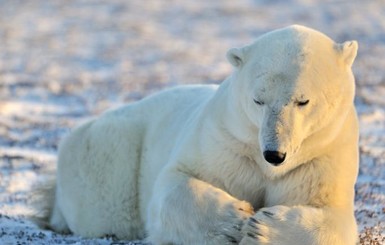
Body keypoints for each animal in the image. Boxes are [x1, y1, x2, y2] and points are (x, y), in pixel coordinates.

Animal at [43, 25, 358, 245]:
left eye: (302, 101)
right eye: (258, 100)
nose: (274, 154)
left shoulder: (323, 155)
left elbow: (336, 218)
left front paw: (262, 228)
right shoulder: (225, 141)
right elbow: (176, 181)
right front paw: (236, 221)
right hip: (109, 158)